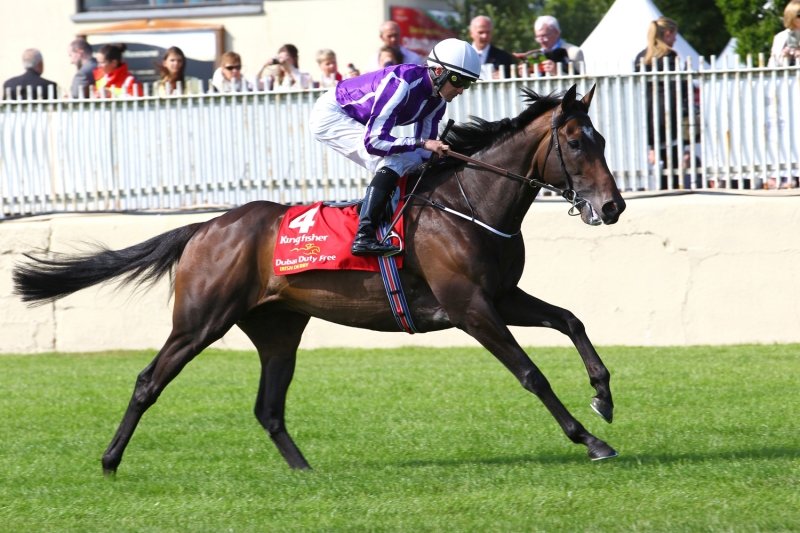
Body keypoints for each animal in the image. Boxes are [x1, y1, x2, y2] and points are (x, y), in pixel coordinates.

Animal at [13, 84, 626, 475]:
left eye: (602, 140)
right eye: (577, 143)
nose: (613, 206)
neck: (469, 202)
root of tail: (206, 227)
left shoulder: (501, 295)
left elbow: (571, 320)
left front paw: (603, 397)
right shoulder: (471, 308)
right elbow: (531, 374)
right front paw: (591, 440)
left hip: (279, 329)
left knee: (268, 407)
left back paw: (305, 471)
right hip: (199, 322)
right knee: (148, 381)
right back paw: (110, 460)